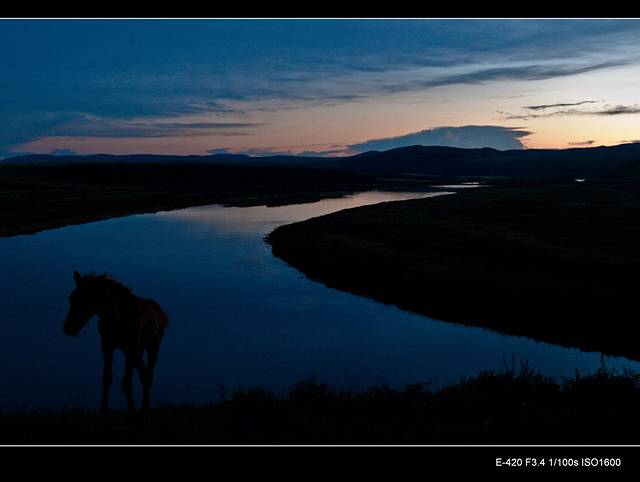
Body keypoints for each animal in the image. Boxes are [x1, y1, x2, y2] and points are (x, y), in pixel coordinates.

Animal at [63, 270, 169, 419]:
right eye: (72, 297)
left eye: (88, 298)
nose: (69, 328)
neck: (117, 316)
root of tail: (161, 312)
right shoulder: (107, 347)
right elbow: (107, 378)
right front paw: (103, 413)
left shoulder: (131, 349)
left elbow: (127, 382)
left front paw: (133, 412)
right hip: (139, 349)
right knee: (143, 373)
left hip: (152, 347)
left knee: (148, 374)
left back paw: (144, 409)